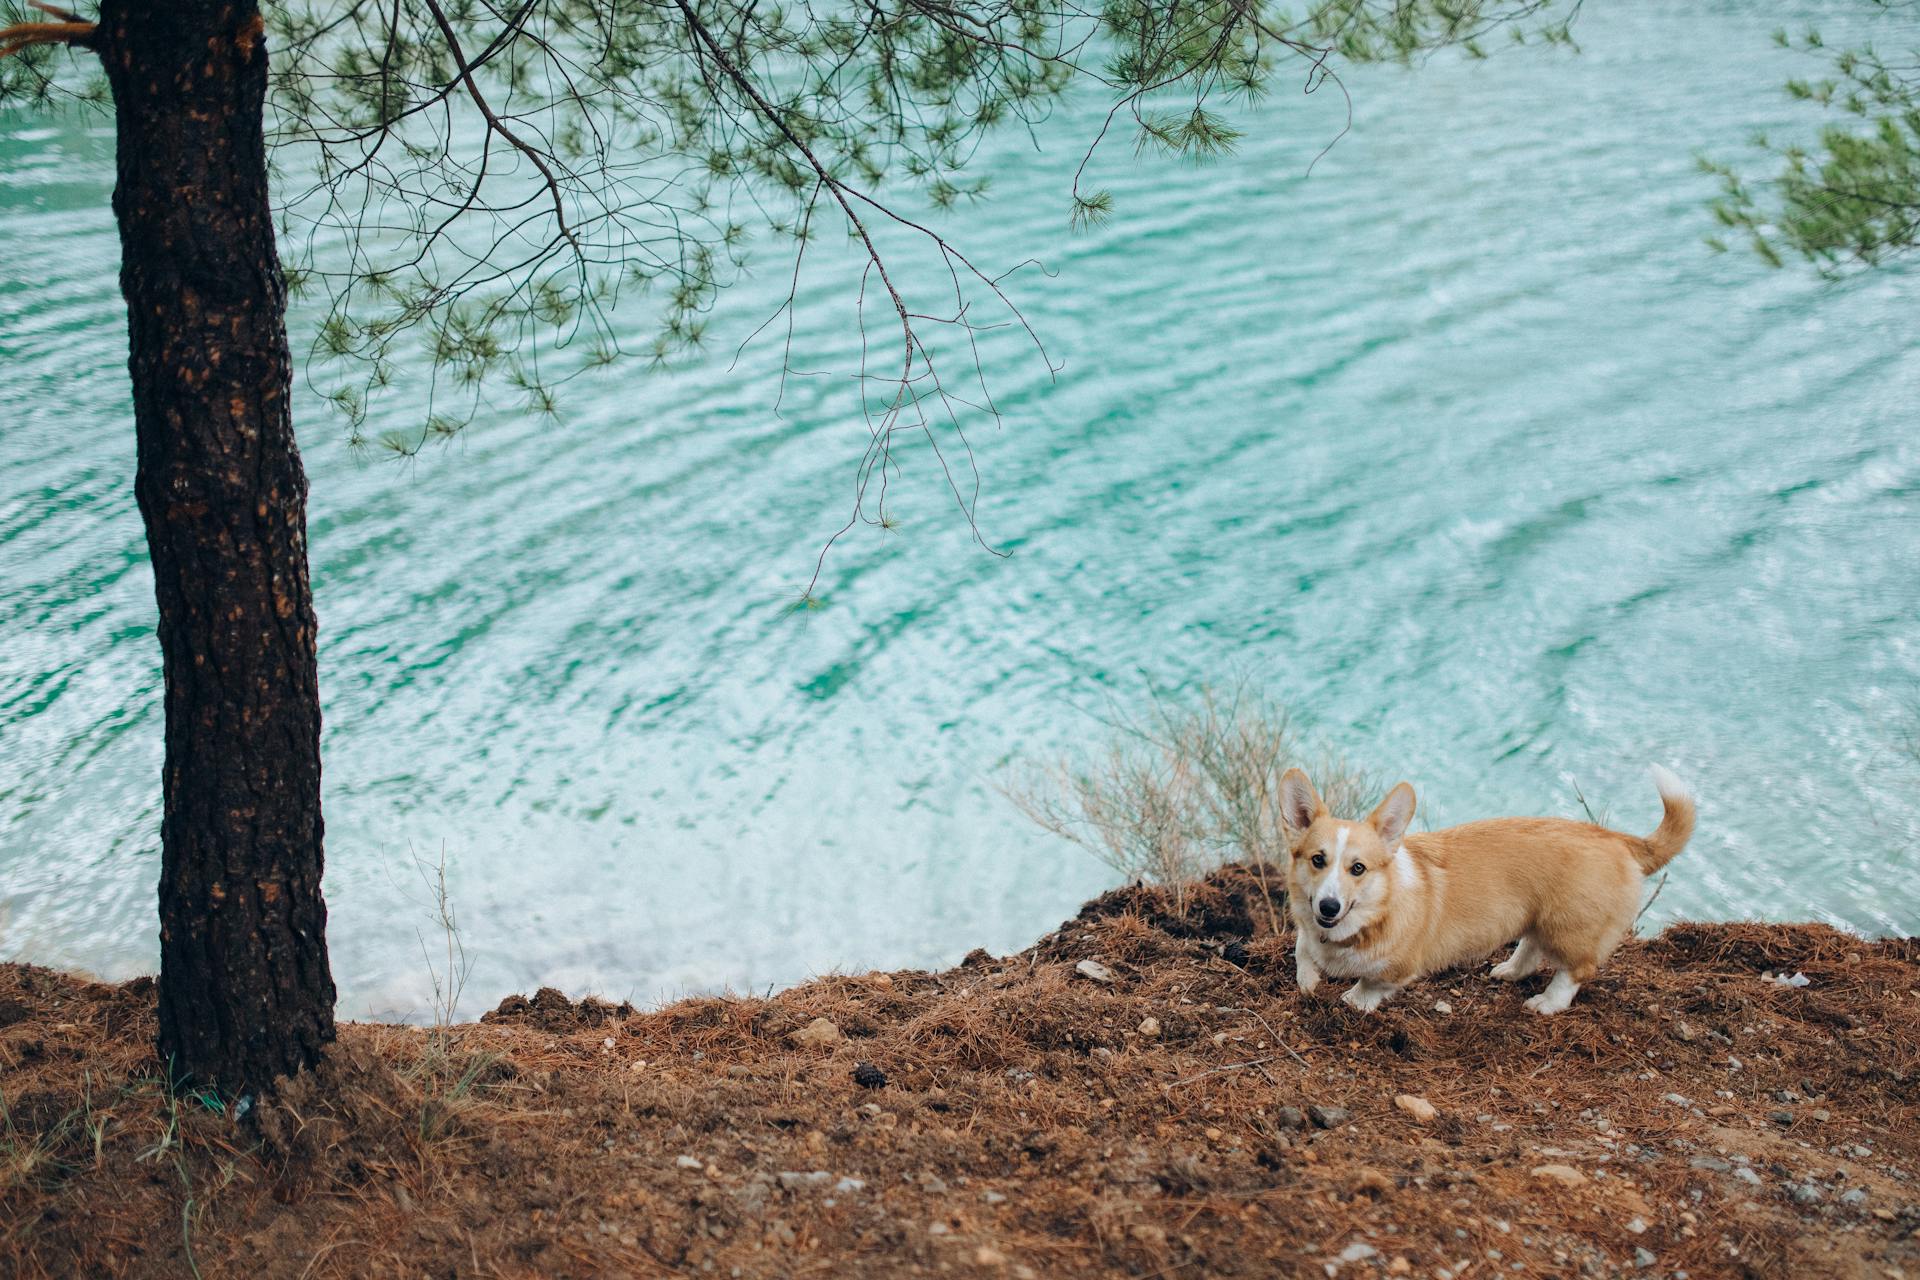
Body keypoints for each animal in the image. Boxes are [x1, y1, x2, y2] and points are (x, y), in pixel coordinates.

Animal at [1282, 767, 1689, 1013]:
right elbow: (1302, 949)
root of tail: (1618, 839)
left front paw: (1352, 1001)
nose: (1329, 907)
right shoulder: (1309, 929)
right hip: (1535, 915)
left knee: (1577, 970)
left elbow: (1369, 985)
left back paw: (1546, 1003)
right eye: (1318, 859)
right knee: (1530, 945)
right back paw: (1509, 970)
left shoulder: (1398, 967)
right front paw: (1308, 980)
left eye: (1358, 868)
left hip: (1568, 928)